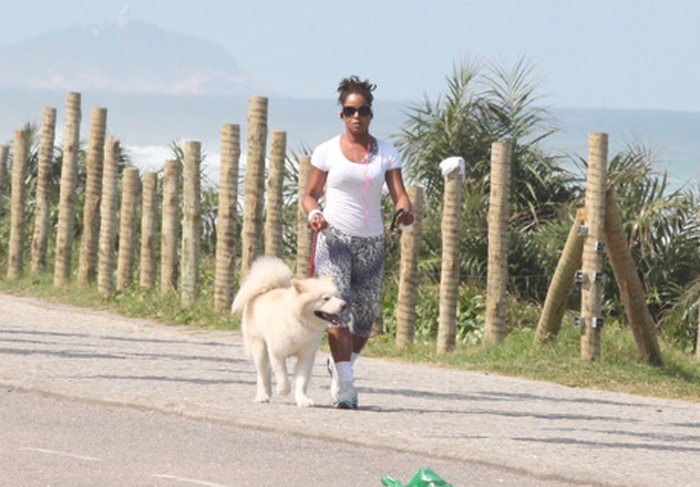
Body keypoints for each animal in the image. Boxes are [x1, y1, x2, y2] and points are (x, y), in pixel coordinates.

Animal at [232, 258, 348, 406]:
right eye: (326, 298)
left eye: (337, 296)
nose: (344, 305)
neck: (301, 322)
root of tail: (266, 290)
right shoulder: (277, 353)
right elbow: (283, 377)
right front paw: (282, 390)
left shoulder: (306, 356)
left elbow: (301, 381)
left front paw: (303, 400)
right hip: (259, 348)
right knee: (262, 373)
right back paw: (262, 395)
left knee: (266, 371)